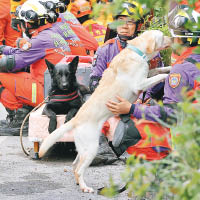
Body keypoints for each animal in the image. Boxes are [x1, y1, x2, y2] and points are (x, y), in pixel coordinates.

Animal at [38, 29, 172, 192]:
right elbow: (159, 75)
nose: (173, 39)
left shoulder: (147, 74)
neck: (136, 51)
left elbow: (158, 69)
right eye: (162, 37)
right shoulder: (139, 84)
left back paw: (79, 183)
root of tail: (76, 119)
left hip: (83, 148)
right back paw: (85, 188)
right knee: (79, 169)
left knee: (74, 165)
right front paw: (168, 74)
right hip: (91, 147)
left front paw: (170, 68)